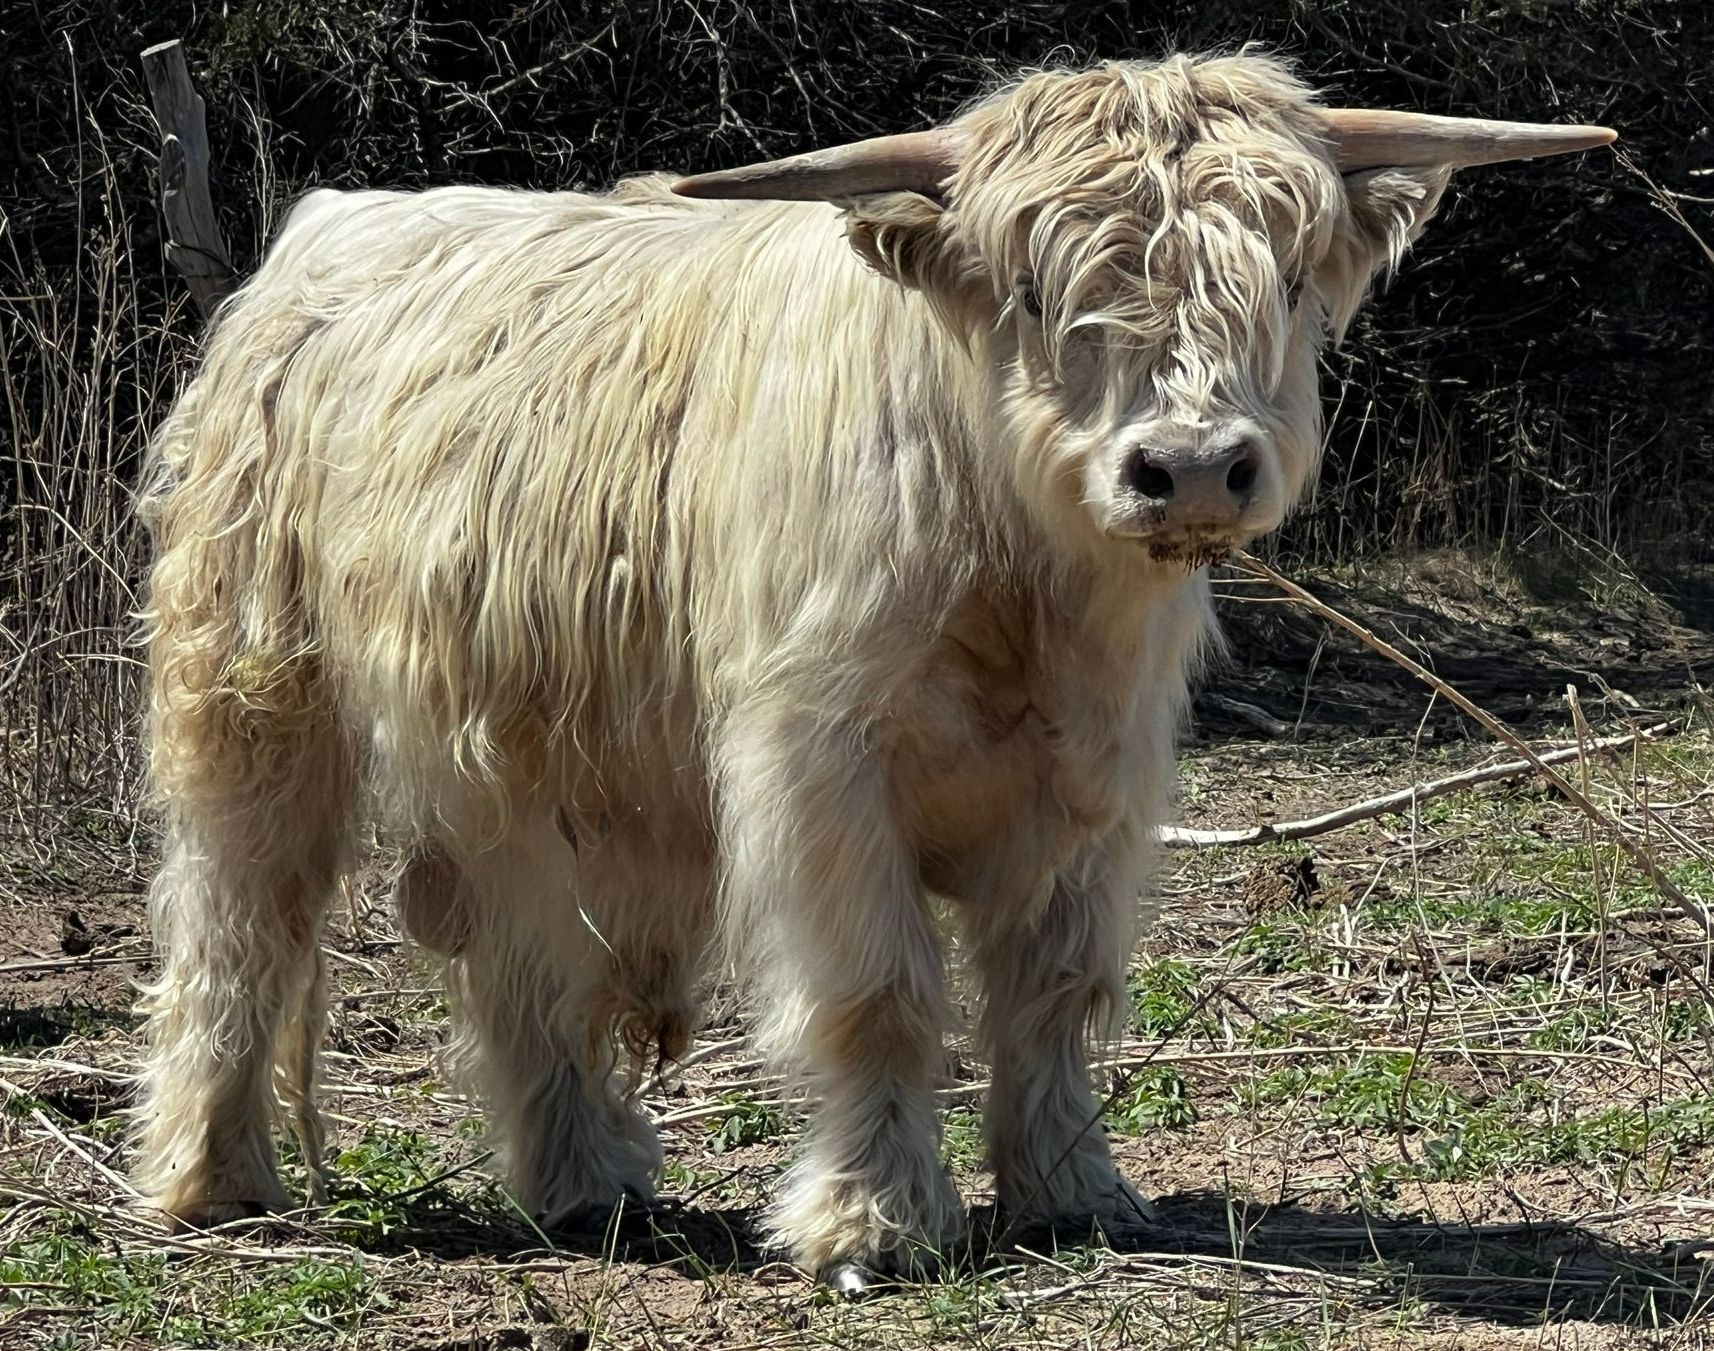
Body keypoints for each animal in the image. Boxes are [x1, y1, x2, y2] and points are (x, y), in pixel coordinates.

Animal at [130, 53, 1612, 1285]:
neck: (1020, 585)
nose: (1190, 466)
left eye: (1291, 277)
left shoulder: (1101, 775)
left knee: (522, 954)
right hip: (252, 685)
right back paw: (214, 1178)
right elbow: (880, 993)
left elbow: (1054, 988)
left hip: (516, 746)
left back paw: (585, 1181)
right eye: (1034, 288)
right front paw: (874, 1223)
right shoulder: (820, 771)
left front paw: (1074, 1192)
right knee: (241, 914)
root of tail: (329, 225)